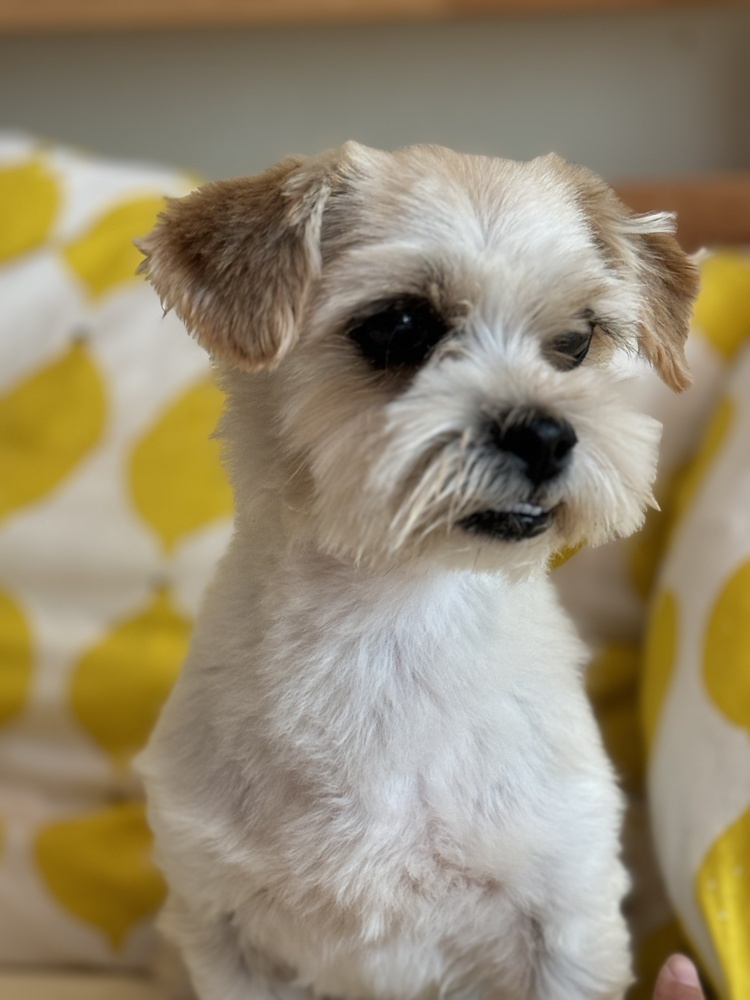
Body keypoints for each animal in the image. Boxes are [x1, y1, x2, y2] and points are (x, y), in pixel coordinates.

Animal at [135, 143, 700, 1000]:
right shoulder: (223, 930)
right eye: (400, 325)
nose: (545, 434)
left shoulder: (568, 919)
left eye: (575, 342)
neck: (394, 623)